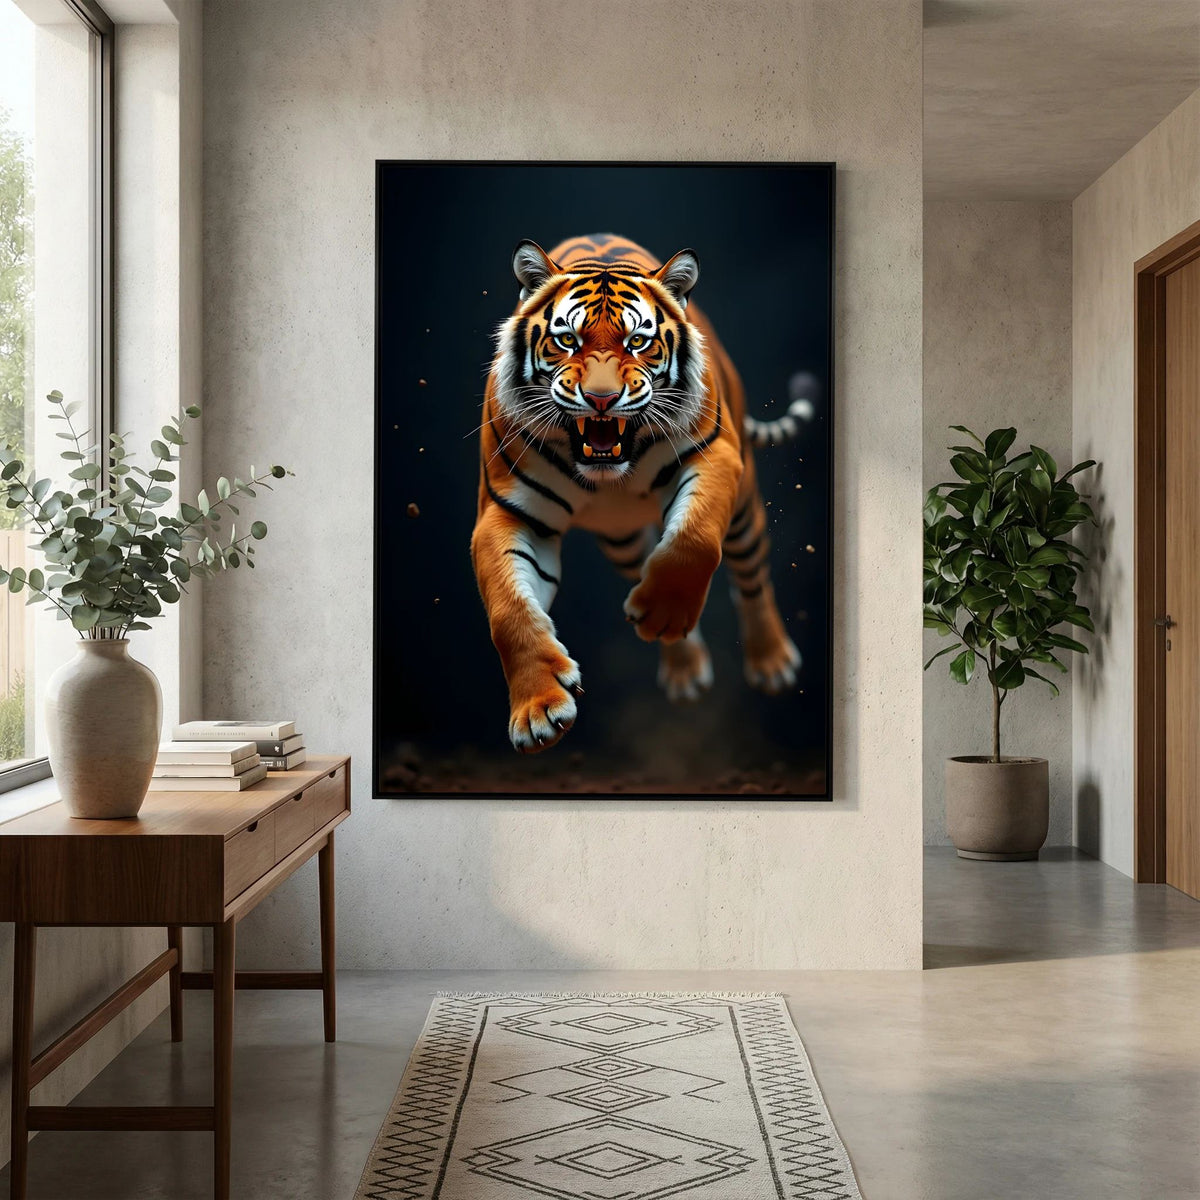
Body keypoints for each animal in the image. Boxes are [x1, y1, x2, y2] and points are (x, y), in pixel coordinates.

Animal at [471, 233, 815, 753]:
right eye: (567, 339)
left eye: (638, 341)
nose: (601, 399)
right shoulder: (505, 512)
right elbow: (508, 612)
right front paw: (538, 712)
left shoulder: (715, 457)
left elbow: (694, 540)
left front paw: (664, 613)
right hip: (621, 539)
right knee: (645, 562)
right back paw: (683, 668)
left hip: (744, 512)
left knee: (751, 577)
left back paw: (771, 662)